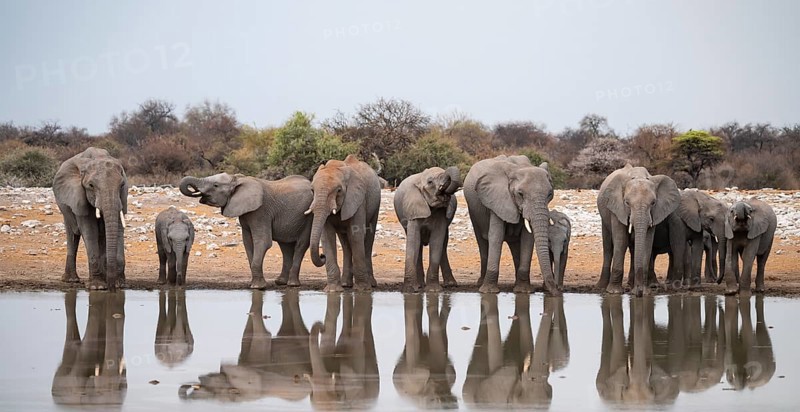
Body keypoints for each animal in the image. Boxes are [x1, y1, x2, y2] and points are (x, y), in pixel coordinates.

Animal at [53, 147, 128, 291]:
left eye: (122, 185)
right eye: (91, 185)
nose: (112, 289)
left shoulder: (122, 198)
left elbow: (118, 228)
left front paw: (119, 284)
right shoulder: (79, 195)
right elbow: (90, 231)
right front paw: (97, 287)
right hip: (65, 207)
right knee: (72, 234)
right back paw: (71, 280)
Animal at [179, 173, 313, 289]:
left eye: (215, 185)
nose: (196, 192)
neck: (238, 179)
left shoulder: (261, 211)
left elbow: (263, 242)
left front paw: (258, 287)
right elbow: (247, 243)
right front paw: (253, 285)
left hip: (308, 218)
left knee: (301, 245)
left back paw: (292, 284)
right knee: (285, 247)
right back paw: (280, 282)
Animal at [307, 155, 382, 292]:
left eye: (339, 190)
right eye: (312, 190)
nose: (322, 256)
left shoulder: (358, 200)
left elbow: (356, 236)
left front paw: (362, 289)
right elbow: (327, 237)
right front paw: (332, 290)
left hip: (376, 203)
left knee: (368, 238)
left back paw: (371, 284)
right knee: (346, 243)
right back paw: (346, 284)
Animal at [463, 155, 559, 295]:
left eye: (550, 194)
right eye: (520, 194)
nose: (555, 291)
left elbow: (527, 239)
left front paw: (524, 291)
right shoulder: (496, 199)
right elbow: (496, 236)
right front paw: (489, 292)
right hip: (474, 213)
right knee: (482, 242)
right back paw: (481, 284)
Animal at [596, 164, 681, 296]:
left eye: (653, 202)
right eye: (626, 202)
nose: (639, 293)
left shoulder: (655, 212)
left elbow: (646, 242)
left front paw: (644, 292)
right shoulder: (617, 208)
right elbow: (621, 241)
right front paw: (614, 292)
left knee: (633, 248)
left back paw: (630, 285)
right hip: (604, 216)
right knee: (608, 246)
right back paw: (601, 287)